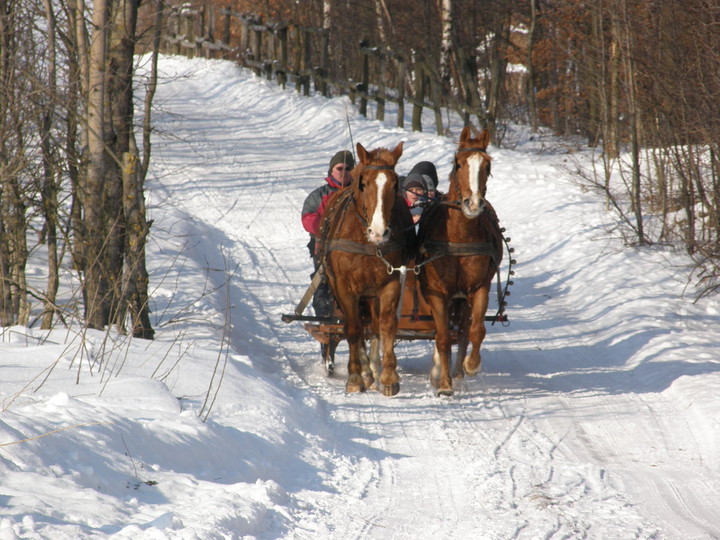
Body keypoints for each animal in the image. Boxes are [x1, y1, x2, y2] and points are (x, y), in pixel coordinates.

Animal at [318, 142, 414, 396]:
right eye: (365, 183)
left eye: (395, 184)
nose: (379, 232)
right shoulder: (343, 286)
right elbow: (353, 329)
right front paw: (355, 377)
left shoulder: (390, 282)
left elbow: (386, 325)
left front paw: (389, 376)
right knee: (358, 326)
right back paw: (364, 370)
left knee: (373, 326)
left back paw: (373, 369)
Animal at [416, 126, 500, 396]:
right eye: (459, 163)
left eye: (487, 165)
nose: (473, 204)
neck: (460, 236)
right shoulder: (437, 291)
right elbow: (442, 337)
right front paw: (443, 384)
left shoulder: (479, 287)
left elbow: (475, 331)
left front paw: (471, 365)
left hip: (462, 298)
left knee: (463, 330)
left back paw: (459, 371)